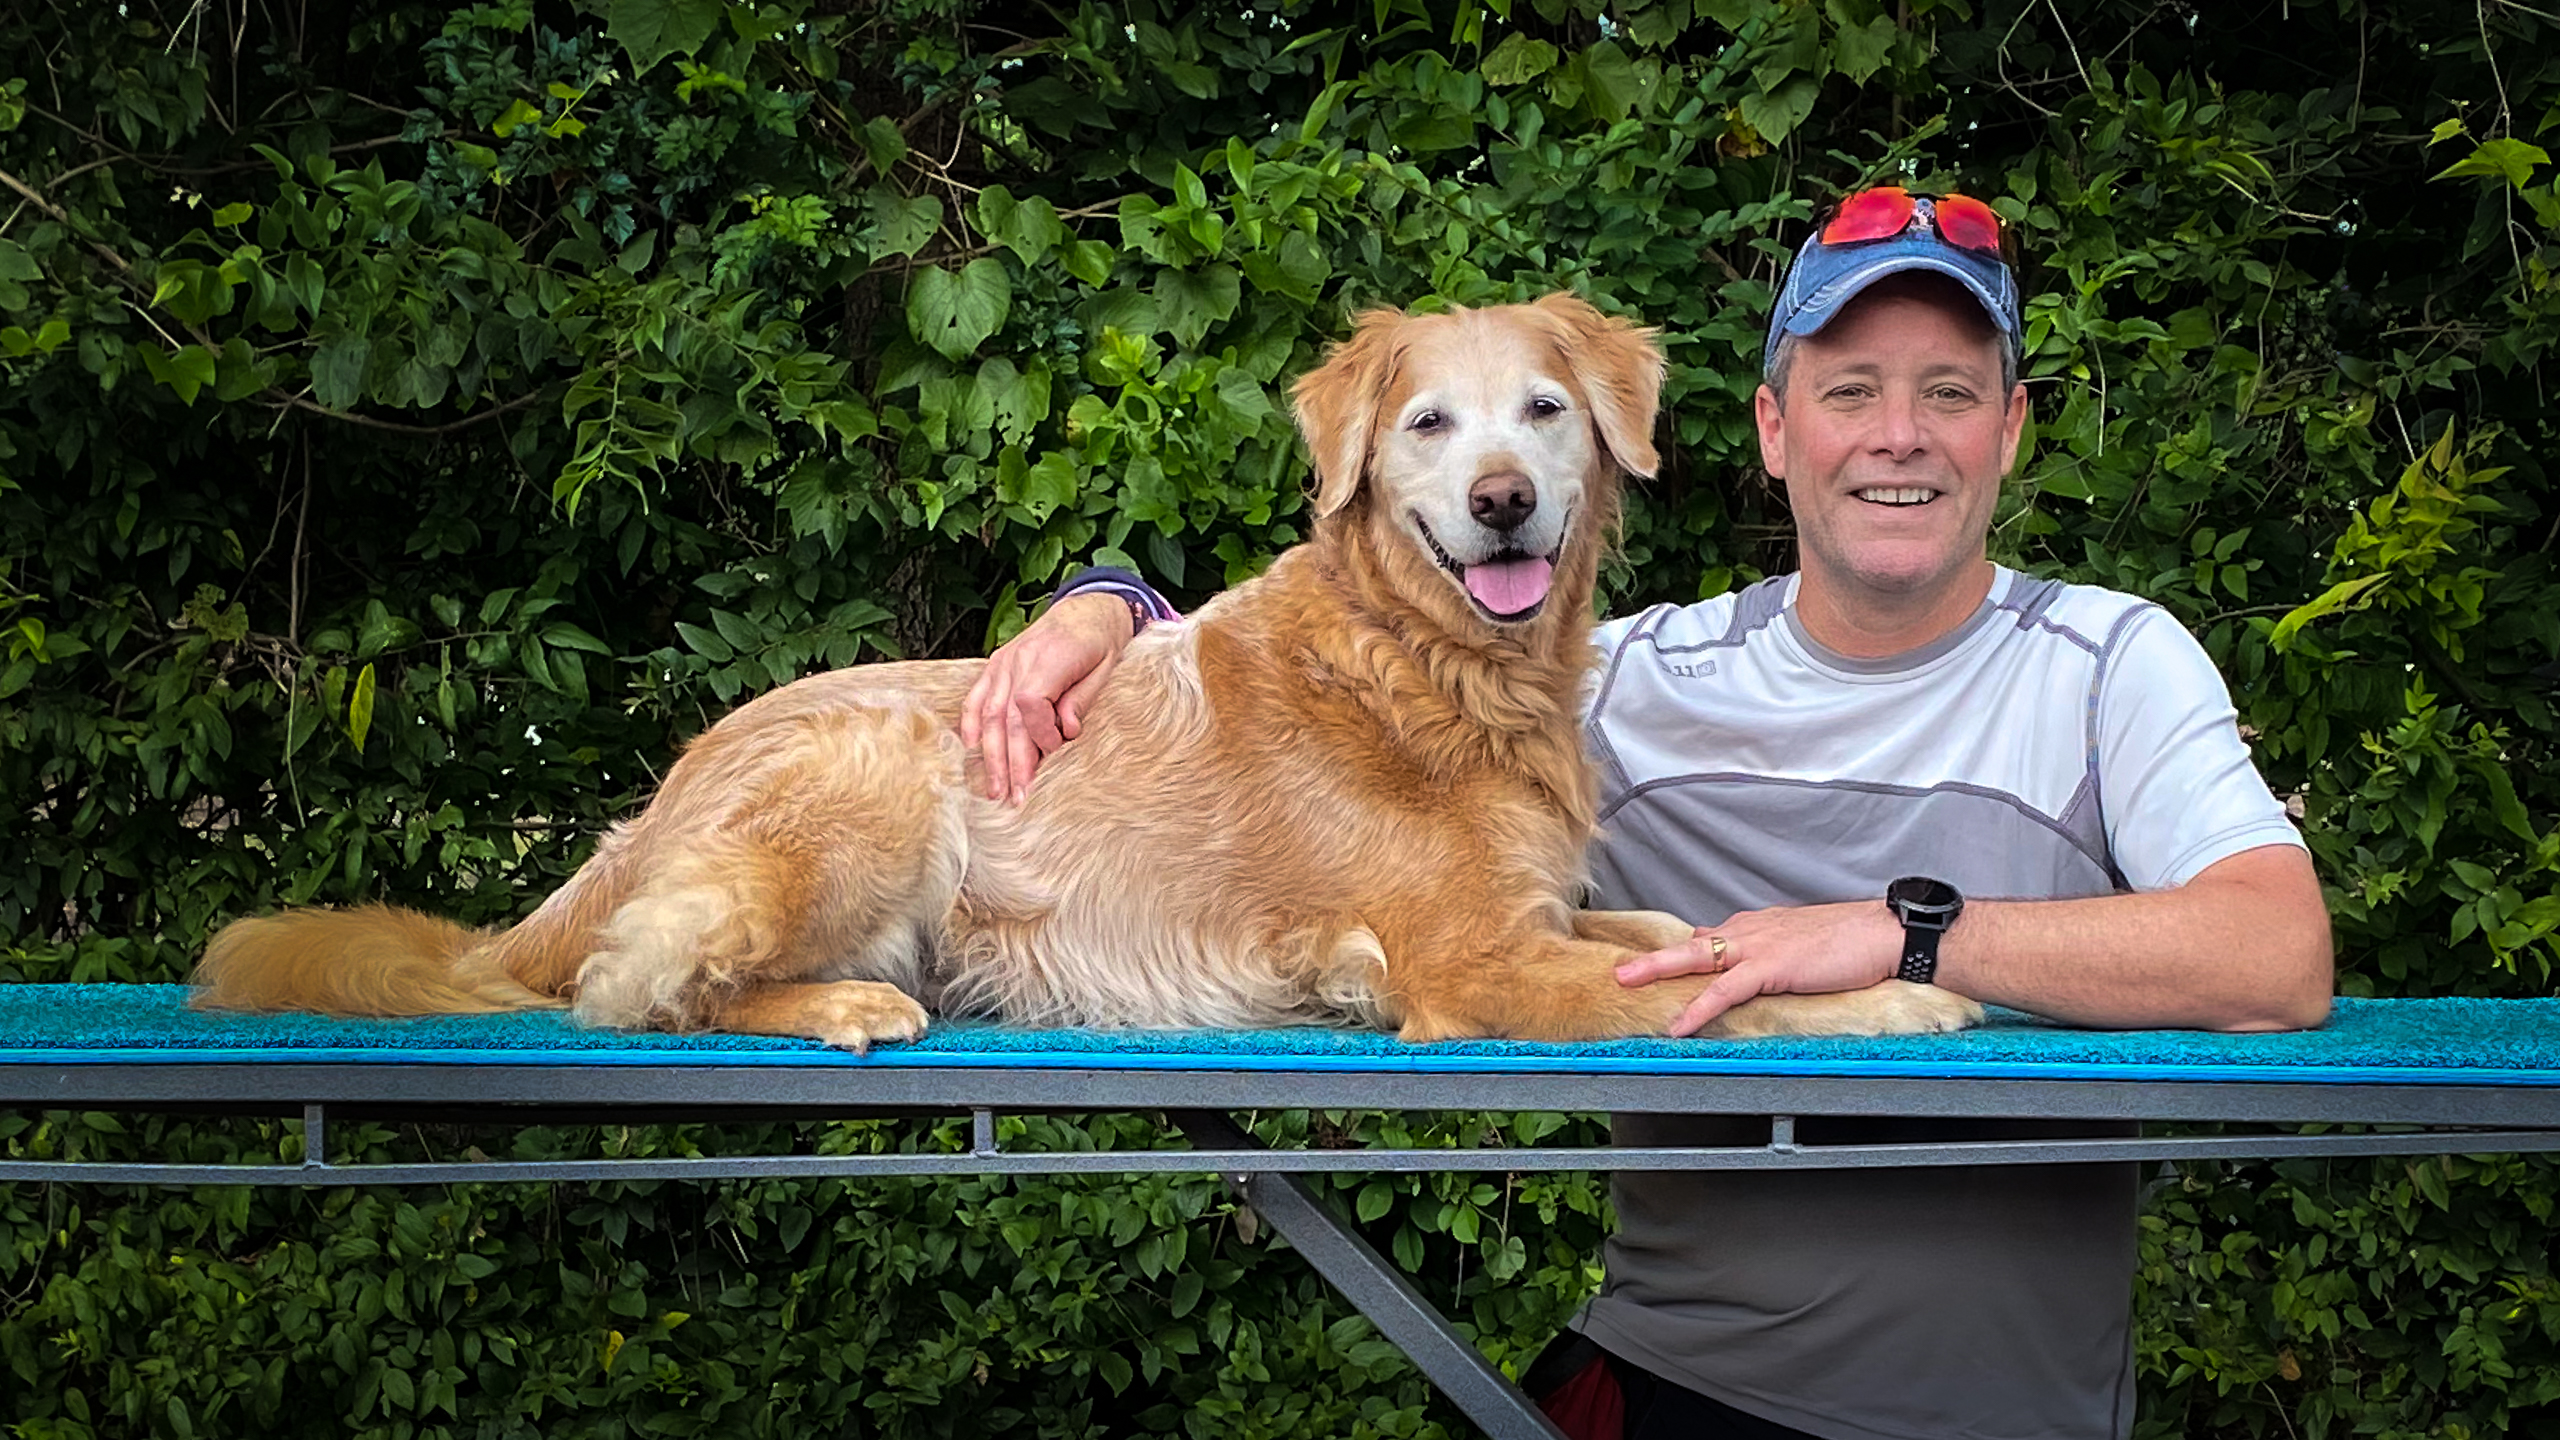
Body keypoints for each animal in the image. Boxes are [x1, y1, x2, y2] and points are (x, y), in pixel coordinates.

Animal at [199, 292, 1986, 1040]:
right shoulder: (1474, 966)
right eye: (1427, 424)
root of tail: (663, 791)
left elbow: (1679, 940)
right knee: (628, 987)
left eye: (1542, 410)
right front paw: (1887, 1007)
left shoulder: (1538, 914)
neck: (1427, 667)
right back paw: (841, 1005)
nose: (1501, 503)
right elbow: (1697, 1002)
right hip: (872, 777)